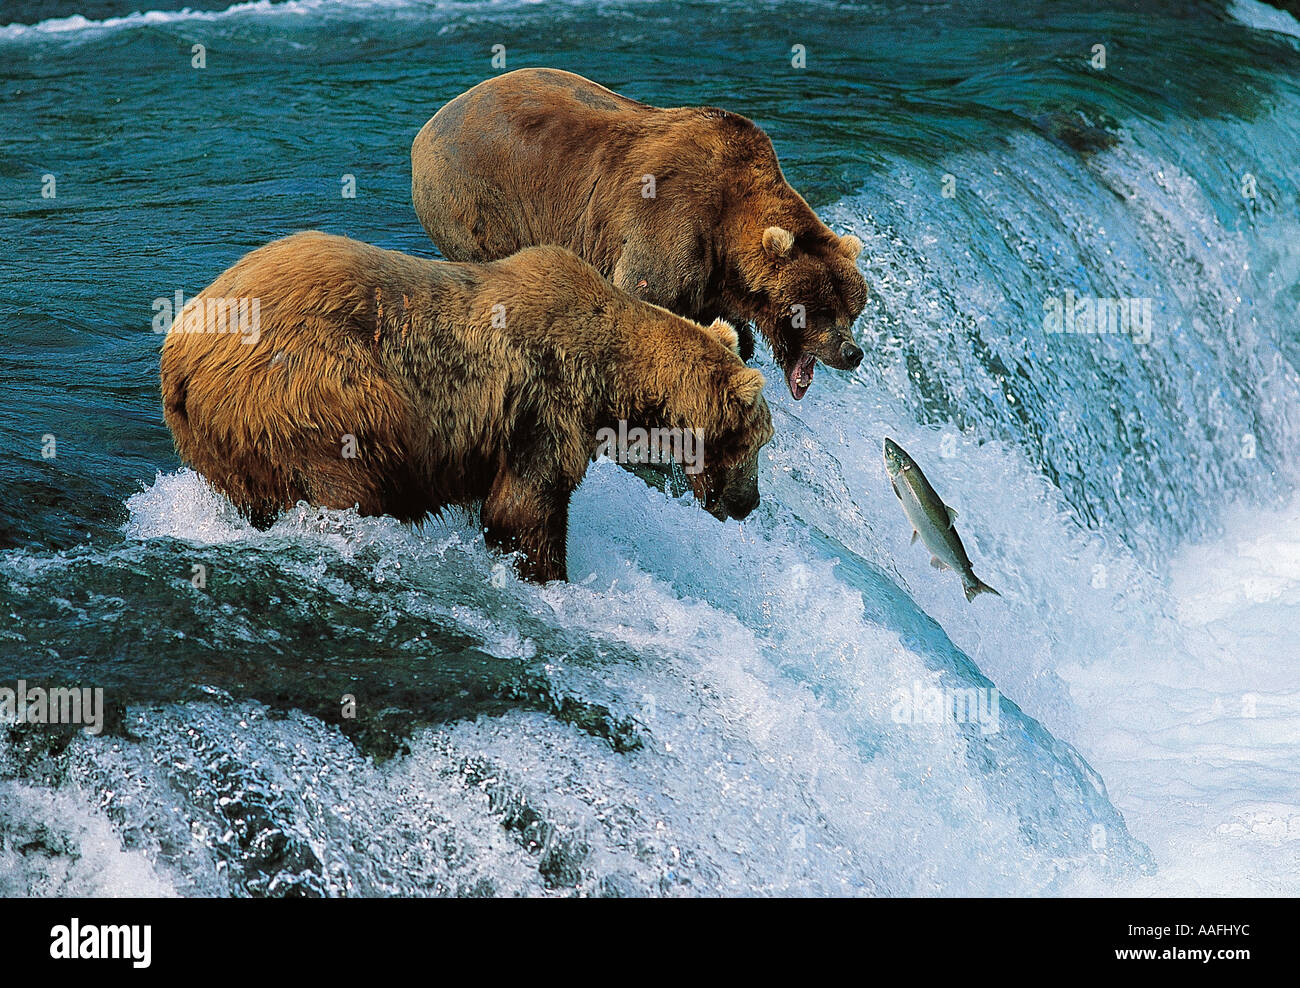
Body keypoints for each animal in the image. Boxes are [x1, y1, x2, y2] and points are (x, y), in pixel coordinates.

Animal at [159, 232, 774, 583]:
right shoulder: (543, 406)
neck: (610, 379)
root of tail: (179, 350)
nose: (749, 504)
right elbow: (525, 507)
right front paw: (549, 576)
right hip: (314, 387)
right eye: (758, 442)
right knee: (348, 471)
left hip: (221, 436)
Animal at [411, 67, 868, 401]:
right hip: (478, 195)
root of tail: (431, 123)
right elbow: (646, 296)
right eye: (816, 308)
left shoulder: (713, 277)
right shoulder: (673, 220)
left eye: (852, 309)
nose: (852, 352)